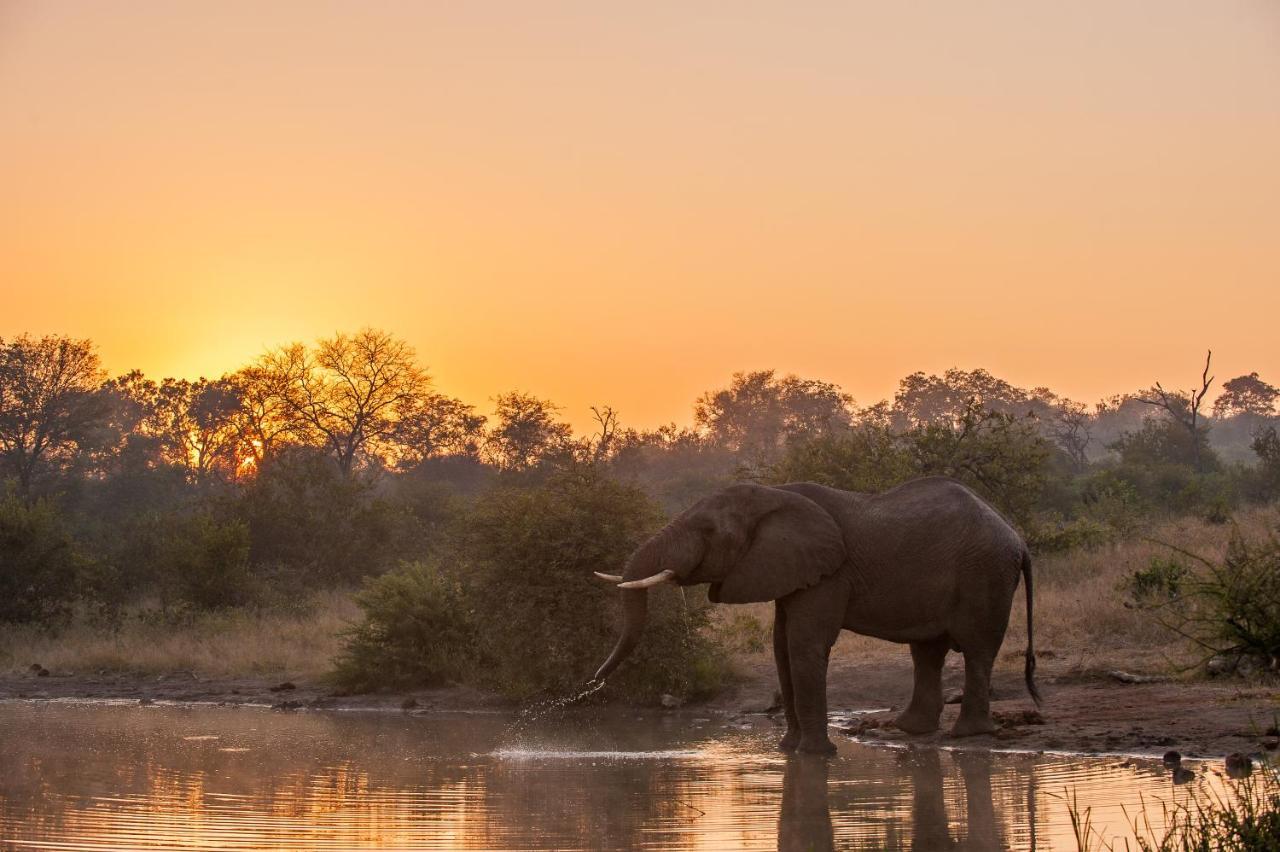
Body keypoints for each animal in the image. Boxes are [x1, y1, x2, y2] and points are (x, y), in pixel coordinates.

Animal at [588, 473, 1039, 752]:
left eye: (709, 532)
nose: (591, 684)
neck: (775, 494)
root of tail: (1018, 537)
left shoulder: (828, 573)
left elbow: (804, 644)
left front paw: (816, 755)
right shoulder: (789, 571)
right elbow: (780, 647)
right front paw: (789, 750)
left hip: (985, 574)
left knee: (977, 648)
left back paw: (967, 735)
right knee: (927, 651)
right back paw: (911, 729)